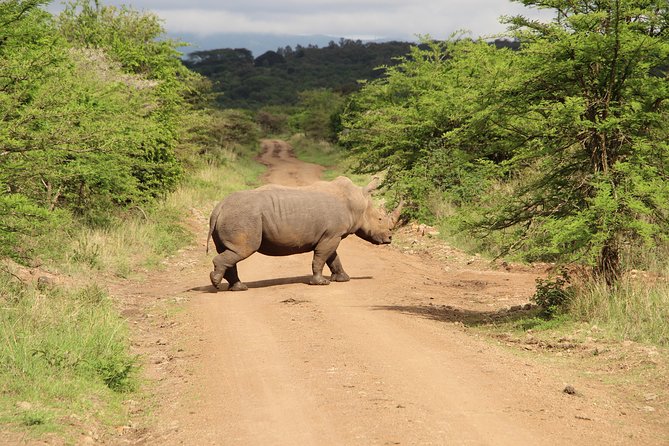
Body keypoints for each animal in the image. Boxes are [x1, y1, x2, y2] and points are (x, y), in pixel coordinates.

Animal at [207, 176, 402, 291]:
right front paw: (321, 283)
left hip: (235, 216)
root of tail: (219, 207)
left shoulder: (331, 235)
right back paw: (217, 284)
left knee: (231, 251)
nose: (389, 238)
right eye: (379, 219)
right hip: (244, 217)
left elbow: (333, 258)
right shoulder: (332, 235)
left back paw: (238, 287)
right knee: (243, 249)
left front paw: (343, 279)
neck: (356, 201)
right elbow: (321, 257)